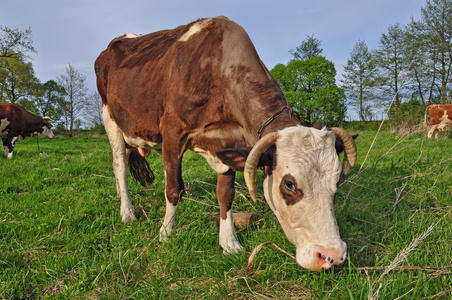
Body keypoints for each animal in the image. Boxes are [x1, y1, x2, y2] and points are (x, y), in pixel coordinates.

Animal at [94, 15, 356, 272]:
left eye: (337, 182)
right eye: (289, 185)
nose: (332, 256)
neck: (215, 71)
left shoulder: (229, 143)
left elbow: (225, 194)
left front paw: (229, 242)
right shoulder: (172, 133)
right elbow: (174, 189)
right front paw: (166, 234)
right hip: (110, 120)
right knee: (119, 166)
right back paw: (127, 212)